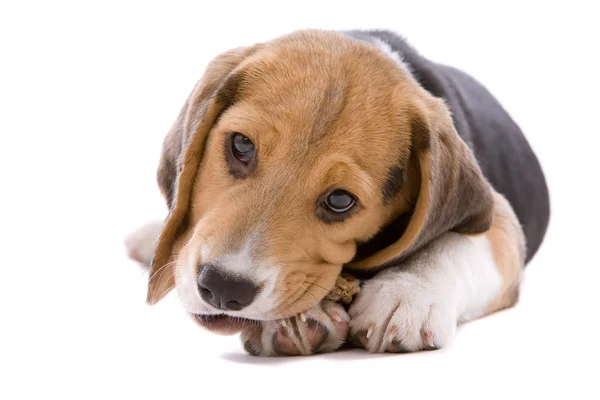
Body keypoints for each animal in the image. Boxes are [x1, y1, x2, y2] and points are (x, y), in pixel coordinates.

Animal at [125, 28, 548, 356]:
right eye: (241, 145)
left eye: (340, 201)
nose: (223, 287)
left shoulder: (500, 219)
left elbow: (455, 245)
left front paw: (408, 292)